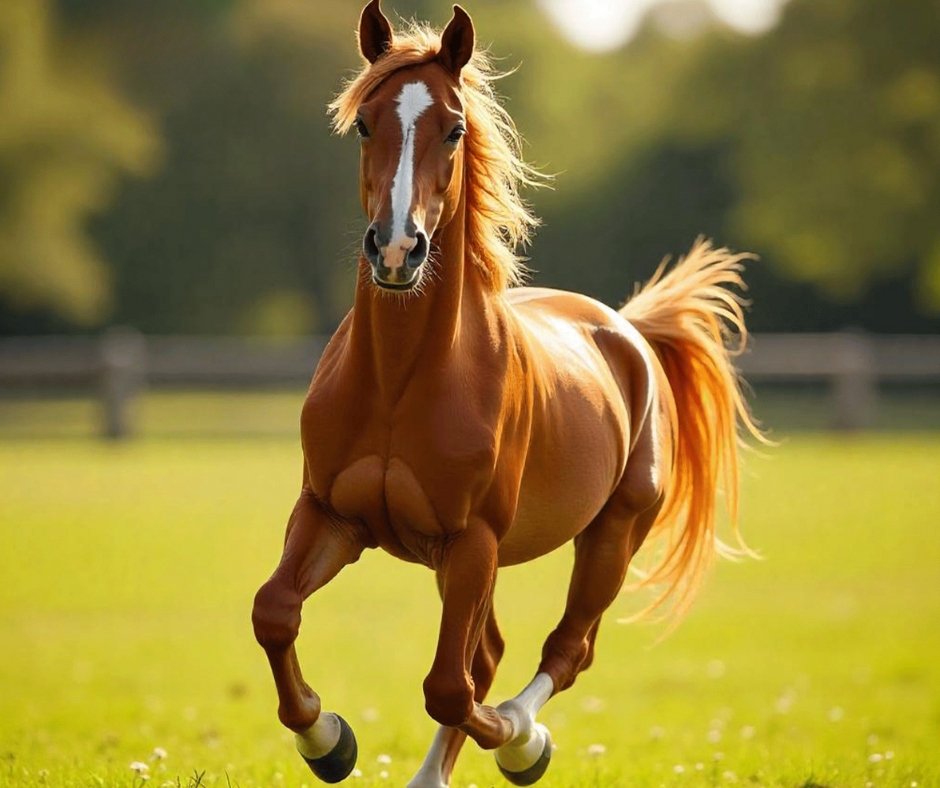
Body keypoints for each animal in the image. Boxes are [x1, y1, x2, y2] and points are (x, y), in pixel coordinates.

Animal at [251, 2, 765, 785]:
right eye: (364, 123)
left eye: (455, 128)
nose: (396, 251)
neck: (401, 382)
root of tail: (629, 330)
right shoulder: (332, 515)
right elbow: (275, 611)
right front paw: (328, 740)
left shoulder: (473, 541)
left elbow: (448, 687)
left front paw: (523, 744)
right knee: (489, 654)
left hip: (610, 535)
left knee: (562, 650)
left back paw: (525, 741)